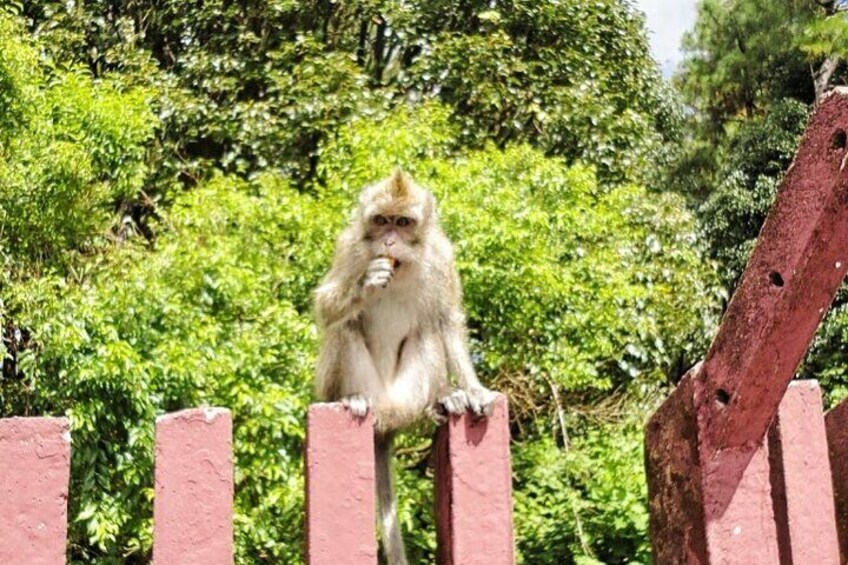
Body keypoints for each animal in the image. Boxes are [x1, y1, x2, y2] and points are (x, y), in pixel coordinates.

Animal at [314, 169, 496, 564]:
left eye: (403, 222)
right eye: (381, 220)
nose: (389, 241)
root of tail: (387, 416)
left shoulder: (442, 256)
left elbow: (447, 319)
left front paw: (473, 389)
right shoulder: (349, 246)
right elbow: (326, 306)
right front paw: (366, 283)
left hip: (407, 394)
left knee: (426, 330)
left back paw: (442, 400)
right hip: (365, 389)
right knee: (343, 326)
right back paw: (349, 398)